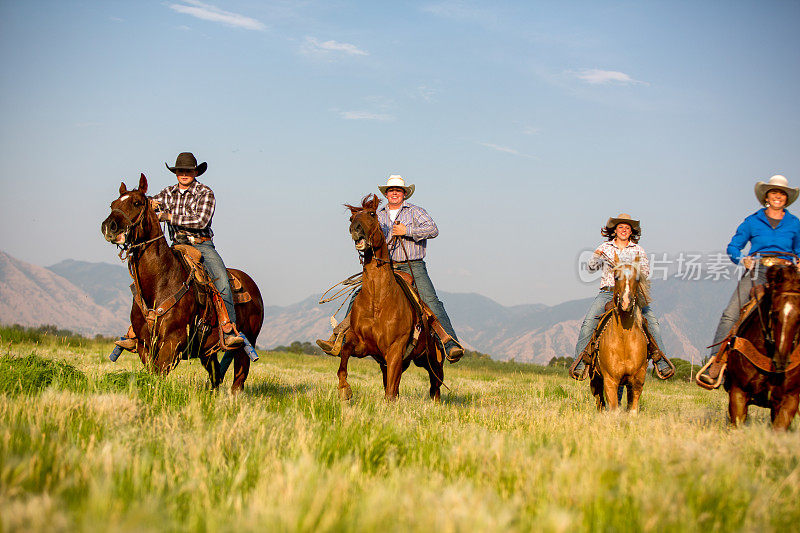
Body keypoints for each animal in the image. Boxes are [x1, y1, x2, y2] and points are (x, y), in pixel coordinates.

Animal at [101, 174, 264, 390]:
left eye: (136, 203)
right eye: (113, 204)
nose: (108, 227)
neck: (161, 281)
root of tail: (253, 287)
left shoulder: (173, 342)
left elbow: (159, 374)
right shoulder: (144, 344)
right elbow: (152, 373)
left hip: (247, 342)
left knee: (239, 379)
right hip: (207, 351)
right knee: (215, 376)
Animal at [332, 194, 444, 400]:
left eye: (371, 214)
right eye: (351, 218)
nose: (355, 229)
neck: (379, 299)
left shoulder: (394, 350)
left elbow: (391, 392)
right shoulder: (364, 345)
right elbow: (344, 355)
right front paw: (344, 389)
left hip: (432, 361)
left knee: (435, 385)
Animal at [588, 254, 648, 412]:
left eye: (637, 279)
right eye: (616, 277)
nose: (626, 303)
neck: (624, 340)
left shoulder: (638, 379)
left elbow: (632, 409)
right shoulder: (610, 380)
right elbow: (613, 408)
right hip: (595, 379)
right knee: (600, 402)